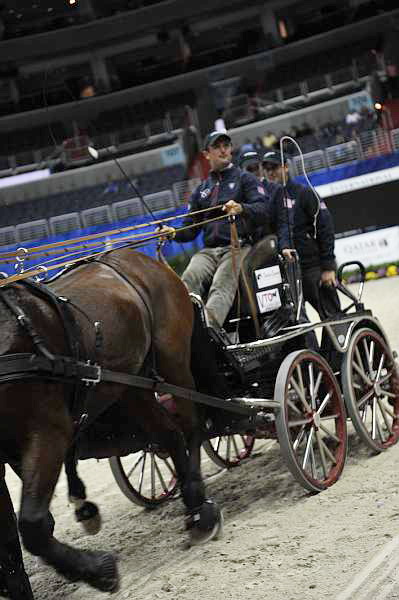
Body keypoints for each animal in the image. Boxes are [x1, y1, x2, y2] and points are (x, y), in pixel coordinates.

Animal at [0, 247, 223, 596]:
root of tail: (138, 256)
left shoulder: (48, 430)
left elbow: (33, 525)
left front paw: (100, 571)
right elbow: (10, 541)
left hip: (173, 360)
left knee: (192, 429)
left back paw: (201, 510)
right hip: (131, 385)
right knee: (170, 435)